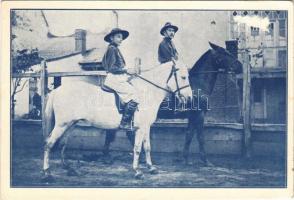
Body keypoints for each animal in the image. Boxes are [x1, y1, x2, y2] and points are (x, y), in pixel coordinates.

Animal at [42, 60, 192, 180]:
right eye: (183, 77)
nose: (189, 98)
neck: (146, 92)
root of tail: (57, 91)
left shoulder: (146, 127)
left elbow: (147, 147)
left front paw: (151, 168)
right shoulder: (140, 128)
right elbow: (137, 148)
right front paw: (137, 171)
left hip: (71, 124)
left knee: (62, 144)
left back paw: (69, 169)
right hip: (62, 124)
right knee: (49, 144)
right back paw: (47, 173)